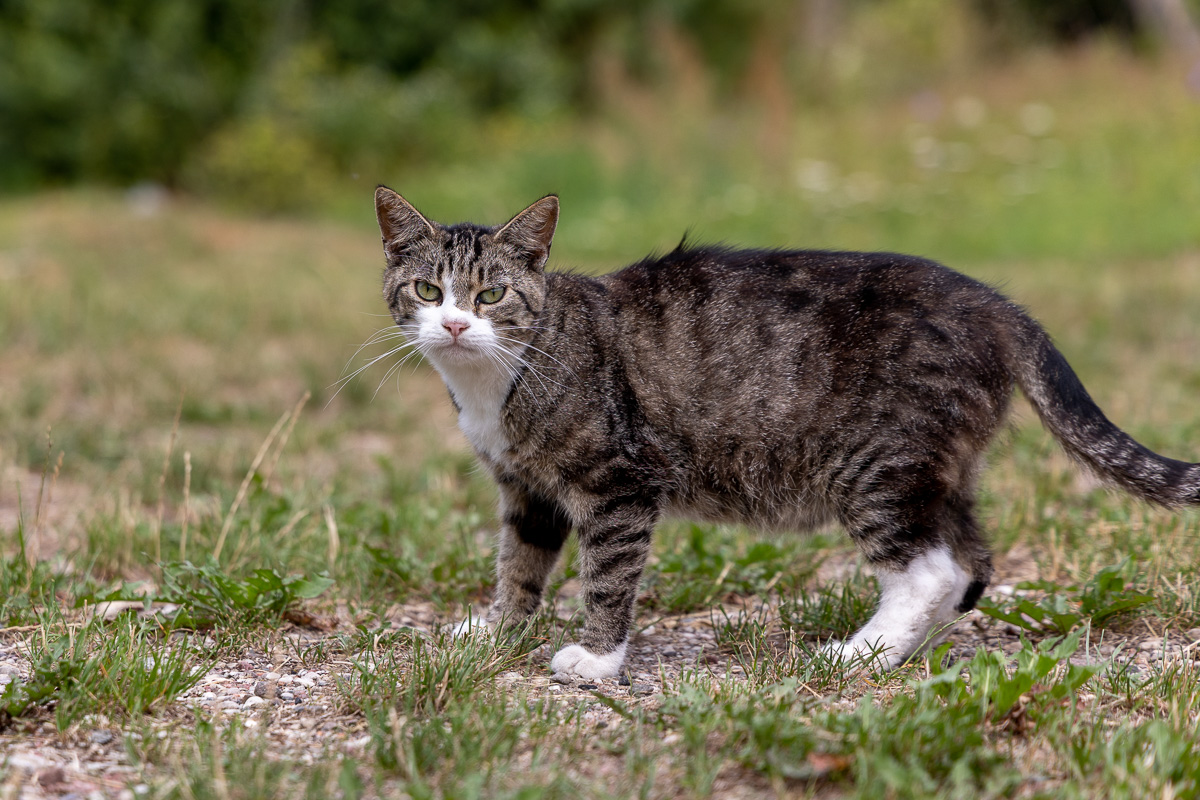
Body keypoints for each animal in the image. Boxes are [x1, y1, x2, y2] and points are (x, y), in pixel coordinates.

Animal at [372, 189, 1200, 681]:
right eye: (427, 290)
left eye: (491, 294)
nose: (454, 324)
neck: (496, 382)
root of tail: (998, 305)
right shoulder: (528, 491)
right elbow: (518, 566)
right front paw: (495, 632)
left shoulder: (619, 484)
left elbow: (606, 575)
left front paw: (599, 661)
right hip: (941, 469)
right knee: (971, 563)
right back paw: (904, 650)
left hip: (875, 464)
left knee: (930, 569)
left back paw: (860, 654)